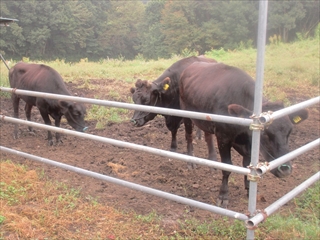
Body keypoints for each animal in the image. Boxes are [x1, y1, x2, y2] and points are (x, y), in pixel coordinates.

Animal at [162, 62, 308, 208]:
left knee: (208, 136)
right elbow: (227, 167)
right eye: (265, 134)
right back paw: (191, 161)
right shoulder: (223, 138)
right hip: (186, 114)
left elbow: (247, 165)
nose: (285, 170)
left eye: (290, 131)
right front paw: (223, 195)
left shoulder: (249, 144)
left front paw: (249, 191)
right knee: (189, 137)